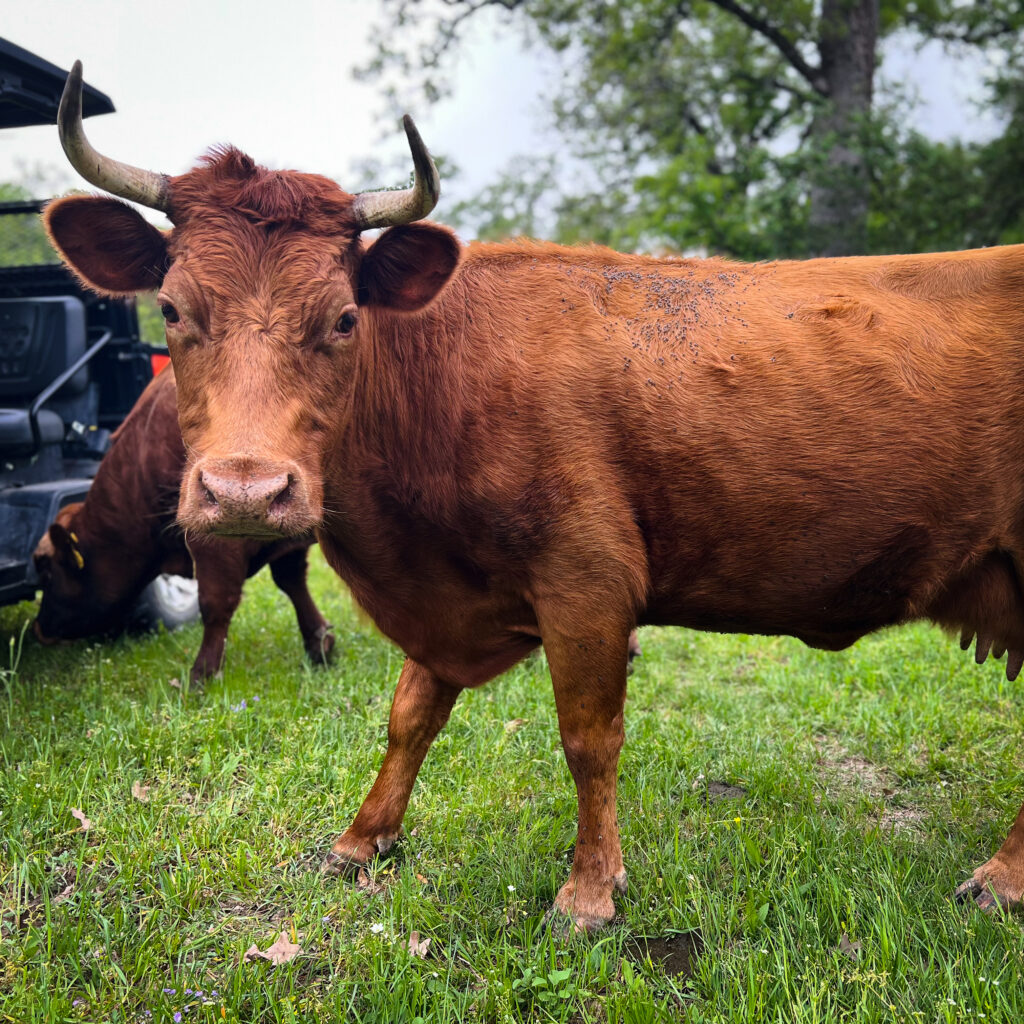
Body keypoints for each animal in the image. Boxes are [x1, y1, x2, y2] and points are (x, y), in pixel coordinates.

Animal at [33, 364, 331, 684]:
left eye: (47, 570)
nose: (39, 628)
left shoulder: (216, 539)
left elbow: (215, 602)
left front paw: (202, 674)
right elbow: (292, 581)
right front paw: (320, 643)